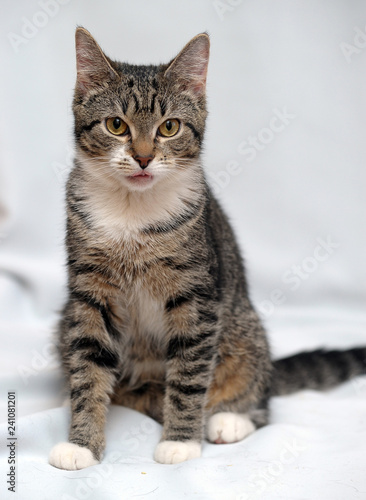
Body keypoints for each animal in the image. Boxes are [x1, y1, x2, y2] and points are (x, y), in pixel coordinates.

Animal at [49, 27, 366, 470]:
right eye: (115, 125)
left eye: (169, 127)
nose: (143, 157)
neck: (132, 211)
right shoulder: (90, 293)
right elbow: (88, 368)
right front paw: (81, 442)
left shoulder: (197, 296)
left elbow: (189, 372)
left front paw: (180, 441)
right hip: (65, 323)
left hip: (244, 332)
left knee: (258, 398)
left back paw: (229, 419)